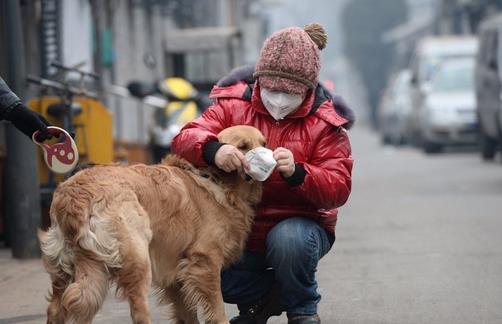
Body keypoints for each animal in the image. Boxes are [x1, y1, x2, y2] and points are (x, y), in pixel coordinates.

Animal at [38, 125, 264, 322]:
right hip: (137, 258)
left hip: (65, 267)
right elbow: (217, 311)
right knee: (138, 310)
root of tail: (74, 195)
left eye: (263, 142)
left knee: (56, 308)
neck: (215, 179)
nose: (268, 153)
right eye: (243, 146)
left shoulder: (176, 275)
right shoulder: (205, 261)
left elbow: (187, 316)